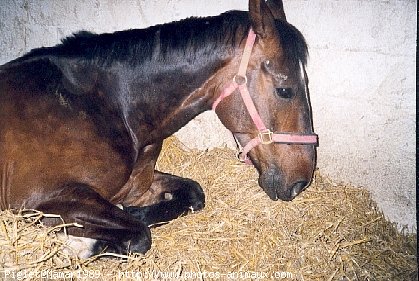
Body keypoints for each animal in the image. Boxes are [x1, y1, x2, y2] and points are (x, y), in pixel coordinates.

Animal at [0, 0, 316, 255]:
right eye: (285, 90)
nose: (300, 183)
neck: (110, 105)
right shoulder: (48, 197)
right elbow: (139, 237)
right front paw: (81, 243)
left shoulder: (135, 187)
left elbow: (192, 193)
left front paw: (135, 213)